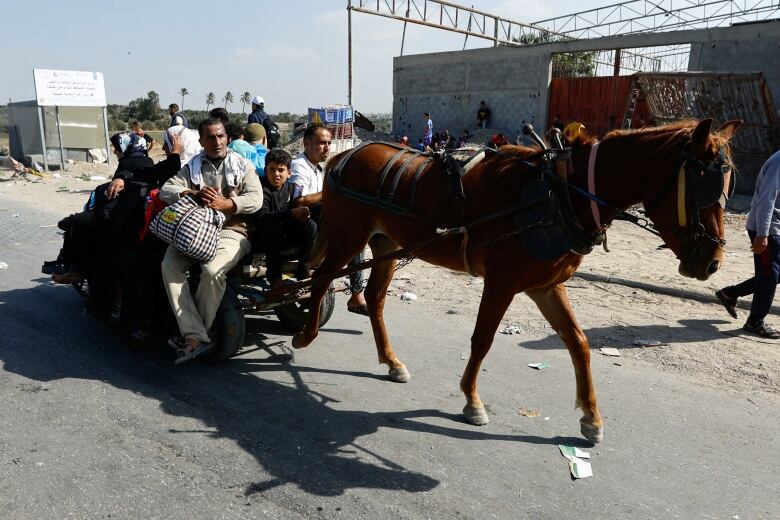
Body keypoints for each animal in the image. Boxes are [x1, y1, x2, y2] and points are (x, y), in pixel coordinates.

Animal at [294, 118, 744, 442]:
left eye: (728, 186)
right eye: (703, 186)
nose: (713, 262)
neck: (561, 193)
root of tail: (344, 156)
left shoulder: (545, 285)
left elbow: (579, 343)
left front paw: (591, 417)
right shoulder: (502, 282)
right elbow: (482, 340)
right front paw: (472, 401)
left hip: (387, 243)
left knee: (374, 297)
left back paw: (390, 361)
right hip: (349, 237)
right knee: (322, 277)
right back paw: (306, 333)